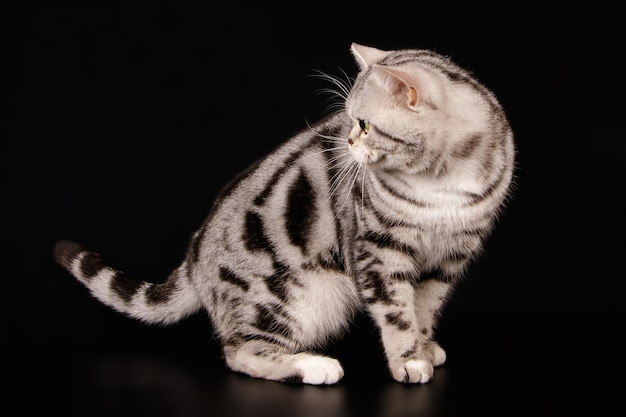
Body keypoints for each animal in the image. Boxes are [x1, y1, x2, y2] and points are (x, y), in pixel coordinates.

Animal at [53, 42, 512, 384]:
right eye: (349, 120)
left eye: (363, 124)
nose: (347, 142)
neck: (441, 180)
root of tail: (193, 258)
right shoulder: (377, 252)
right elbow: (396, 312)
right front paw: (408, 360)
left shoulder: (449, 258)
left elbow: (425, 309)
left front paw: (424, 346)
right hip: (287, 297)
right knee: (240, 352)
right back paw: (312, 365)